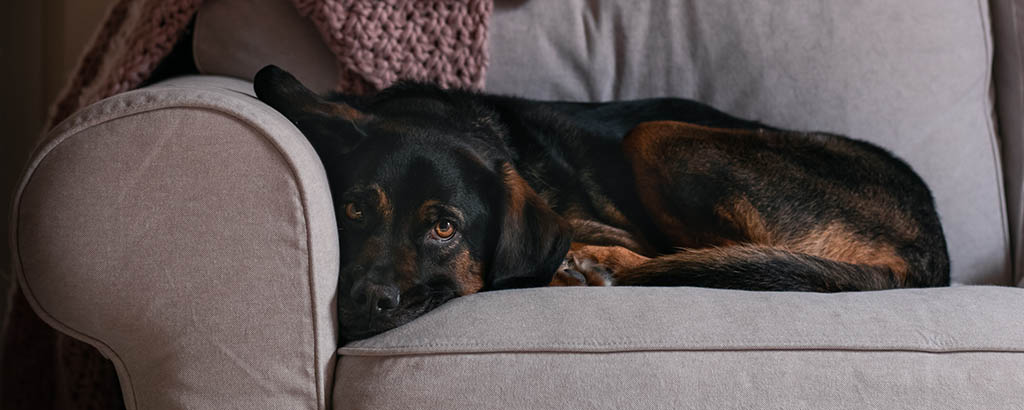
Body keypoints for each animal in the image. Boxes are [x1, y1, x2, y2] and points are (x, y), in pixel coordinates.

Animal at [253, 64, 950, 340]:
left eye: (445, 228)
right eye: (352, 211)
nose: (364, 300)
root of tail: (932, 249)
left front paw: (581, 264)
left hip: (658, 135)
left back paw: (598, 267)